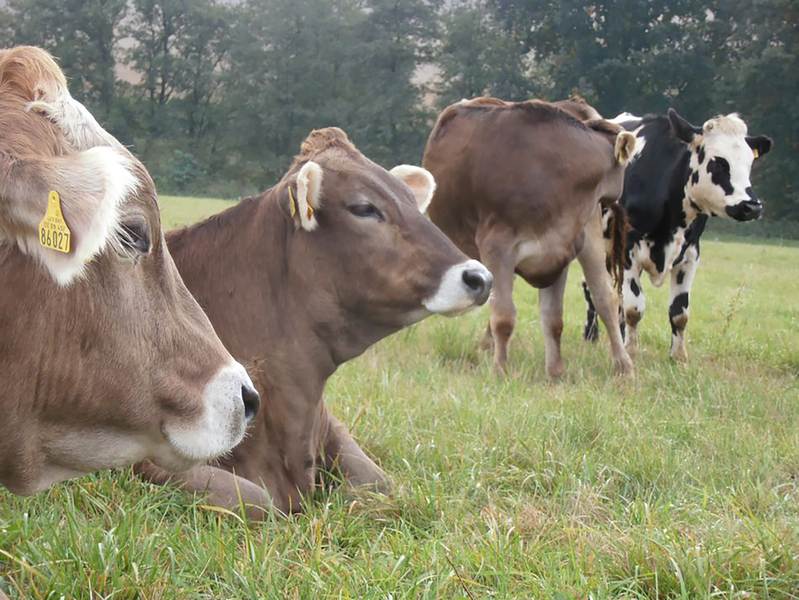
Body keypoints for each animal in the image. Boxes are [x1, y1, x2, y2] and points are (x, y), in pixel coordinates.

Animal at [584, 107, 772, 358]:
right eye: (718, 163)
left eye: (749, 162)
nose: (752, 206)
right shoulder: (628, 251)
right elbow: (634, 307)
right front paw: (631, 350)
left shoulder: (691, 253)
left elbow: (679, 312)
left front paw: (678, 356)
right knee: (593, 291)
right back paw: (591, 336)